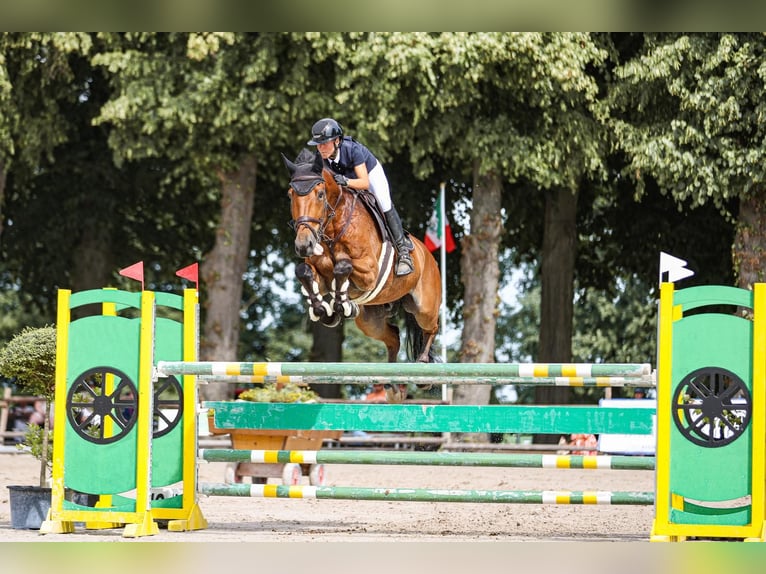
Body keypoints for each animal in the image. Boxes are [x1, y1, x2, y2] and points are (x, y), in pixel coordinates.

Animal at [282, 149, 442, 399]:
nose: (304, 245)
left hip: (424, 307)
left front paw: (341, 305)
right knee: (393, 337)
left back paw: (423, 367)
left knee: (431, 328)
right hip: (370, 321)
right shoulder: (321, 275)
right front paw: (325, 311)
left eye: (320, 194)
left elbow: (343, 266)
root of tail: (429, 256)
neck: (333, 228)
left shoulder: (369, 272)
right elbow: (304, 271)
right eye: (291, 196)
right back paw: (390, 384)